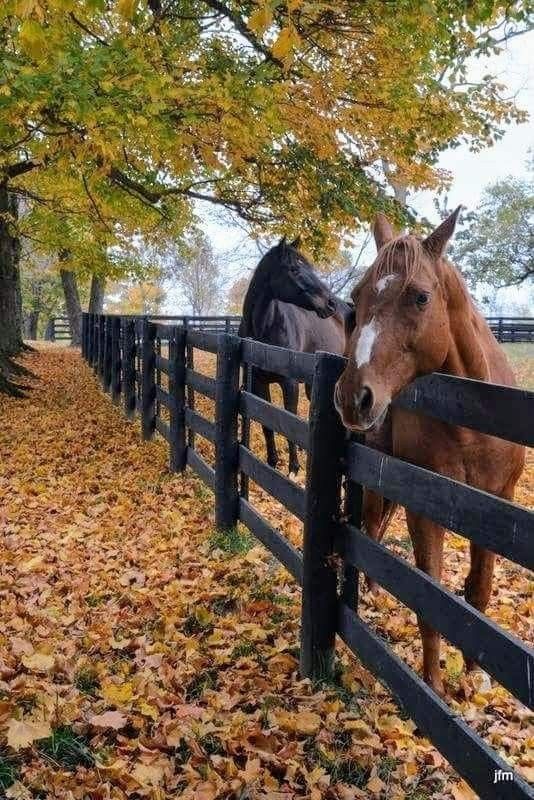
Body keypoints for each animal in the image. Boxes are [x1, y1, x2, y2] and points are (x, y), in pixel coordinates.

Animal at [242, 238, 352, 476]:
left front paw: (293, 468)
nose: (329, 304)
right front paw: (272, 461)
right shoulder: (258, 383)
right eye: (294, 269)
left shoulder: (289, 383)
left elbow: (289, 419)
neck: (265, 329)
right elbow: (267, 423)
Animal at [336, 209, 528, 696]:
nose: (352, 397)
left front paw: (476, 676)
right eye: (356, 297)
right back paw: (371, 592)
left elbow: (478, 592)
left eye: (420, 297)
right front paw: (433, 686)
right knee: (370, 528)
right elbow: (431, 601)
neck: (473, 422)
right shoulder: (425, 511)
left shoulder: (498, 509)